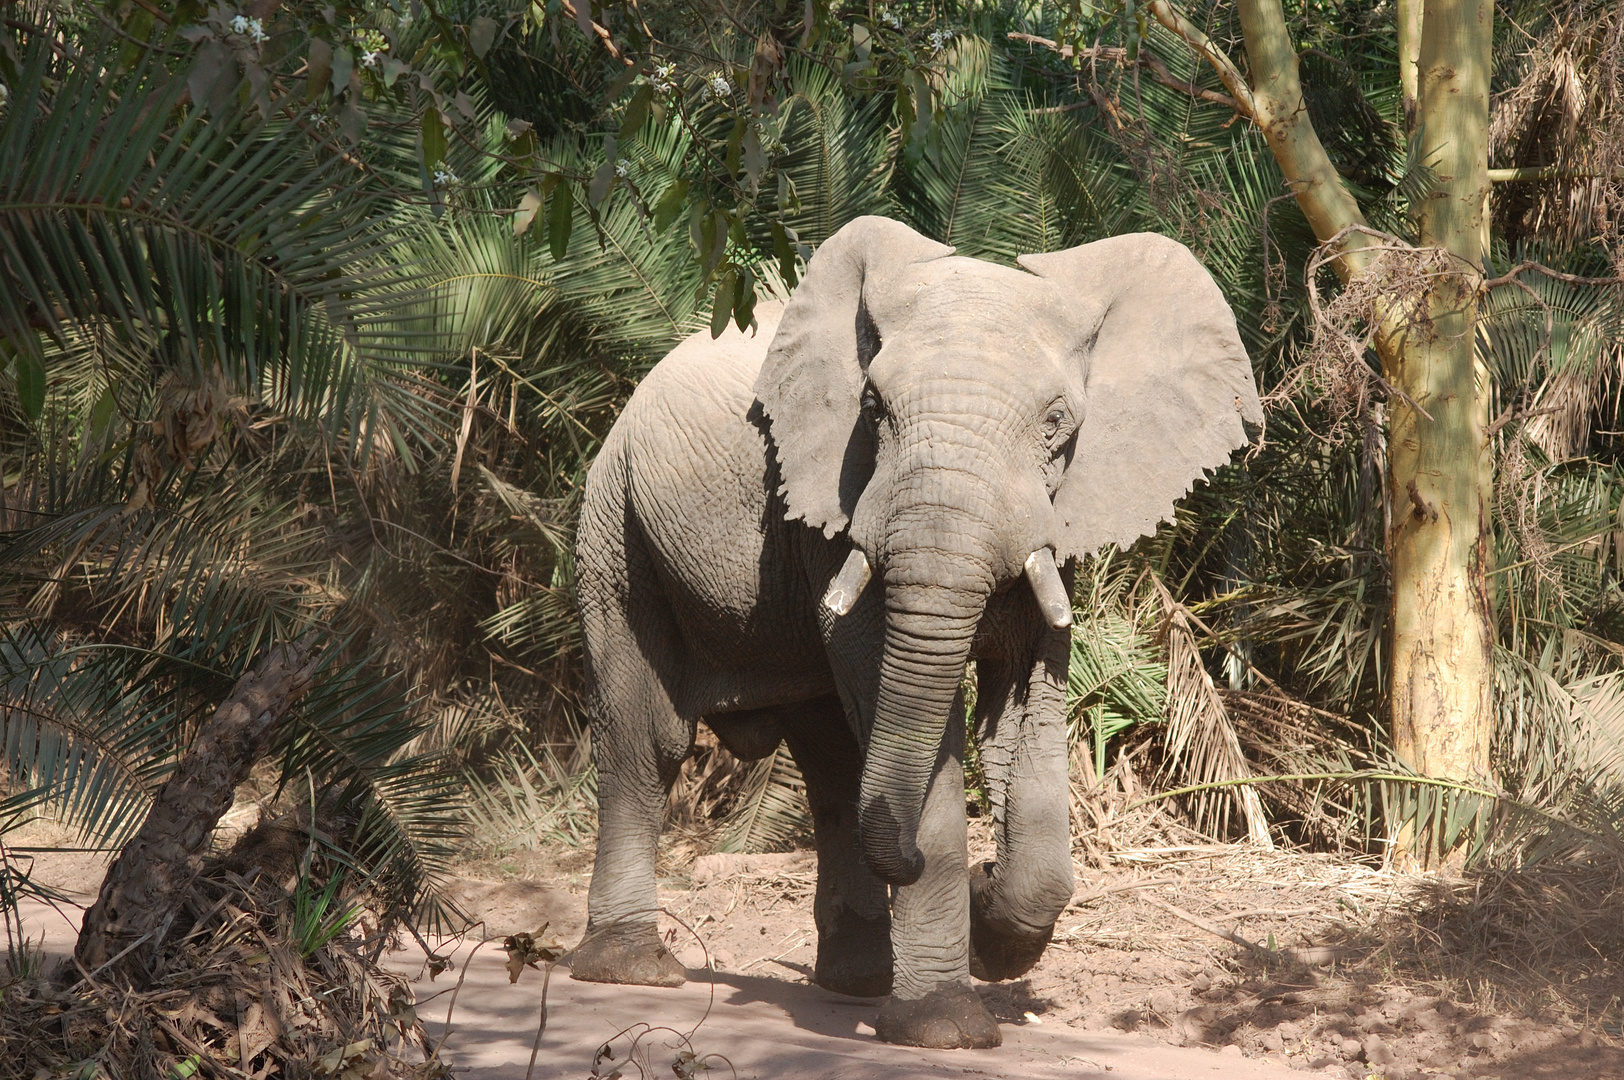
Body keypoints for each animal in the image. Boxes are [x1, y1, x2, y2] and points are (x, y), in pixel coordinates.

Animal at [571, 214, 1266, 1045]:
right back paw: (633, 970)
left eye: (1057, 423)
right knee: (650, 739)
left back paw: (859, 982)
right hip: (615, 523)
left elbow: (1023, 702)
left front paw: (993, 928)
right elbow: (905, 710)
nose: (966, 871)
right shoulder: (838, 502)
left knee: (834, 760)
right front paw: (947, 1025)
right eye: (872, 409)